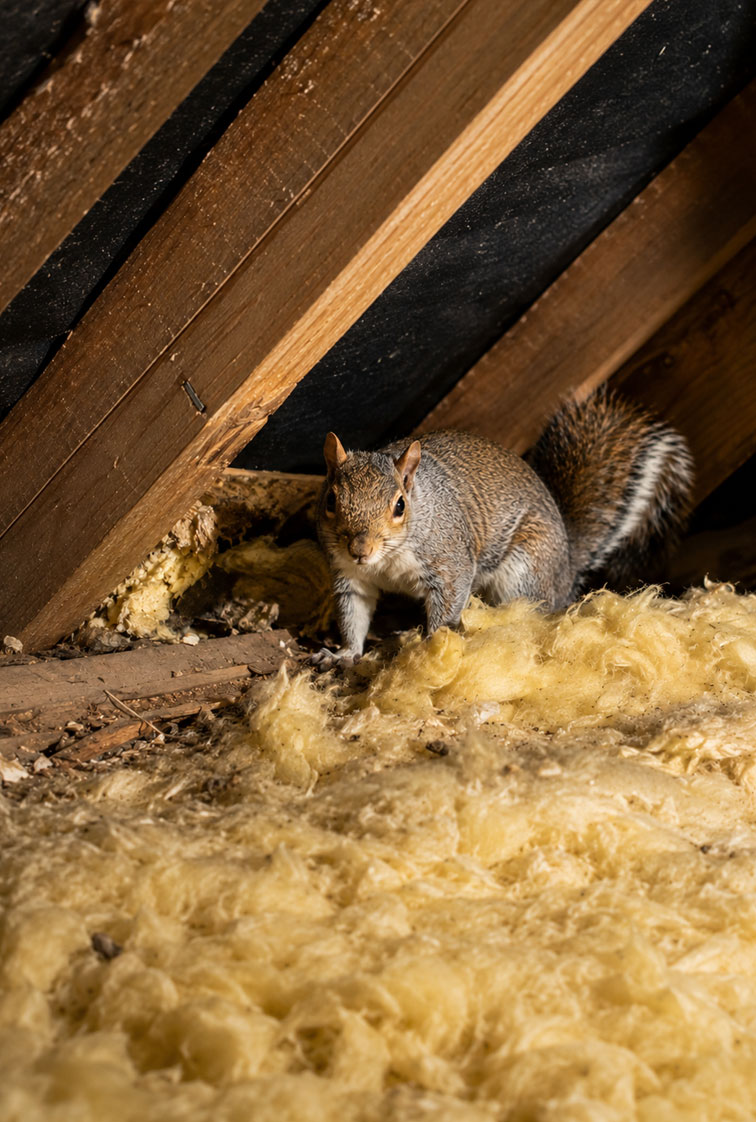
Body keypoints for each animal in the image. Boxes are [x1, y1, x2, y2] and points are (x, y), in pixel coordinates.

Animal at [314, 390, 693, 666]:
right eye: (330, 499)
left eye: (399, 506)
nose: (360, 550)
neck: (387, 560)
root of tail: (566, 570)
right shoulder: (350, 576)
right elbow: (353, 614)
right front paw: (344, 653)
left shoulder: (449, 560)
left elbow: (448, 603)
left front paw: (431, 648)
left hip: (524, 572)